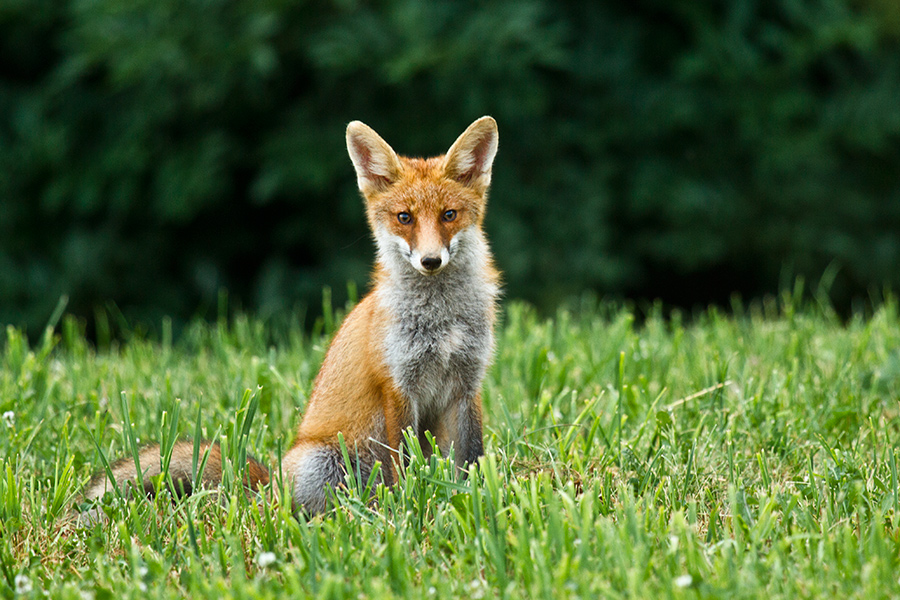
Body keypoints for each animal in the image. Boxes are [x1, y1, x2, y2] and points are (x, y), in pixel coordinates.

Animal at [82, 118, 500, 516]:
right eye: (404, 217)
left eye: (449, 215)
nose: (430, 261)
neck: (440, 322)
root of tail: (271, 482)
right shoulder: (398, 386)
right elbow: (405, 462)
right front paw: (411, 504)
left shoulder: (467, 384)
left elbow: (471, 457)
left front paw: (473, 497)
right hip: (325, 461)